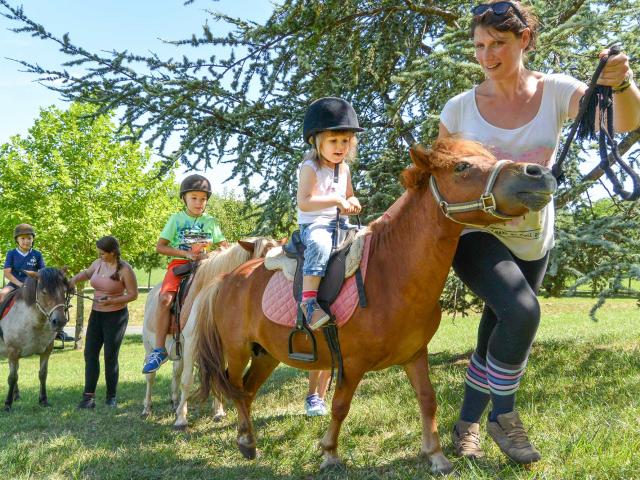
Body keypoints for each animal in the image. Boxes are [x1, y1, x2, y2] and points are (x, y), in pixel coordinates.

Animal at [0, 268, 70, 410]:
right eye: (44, 292)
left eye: (64, 290)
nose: (59, 321)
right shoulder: (13, 352)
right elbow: (12, 377)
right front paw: (7, 404)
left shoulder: (46, 351)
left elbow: (42, 374)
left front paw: (43, 400)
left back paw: (16, 395)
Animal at [141, 238, 282, 430]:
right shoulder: (192, 341)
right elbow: (187, 380)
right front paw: (181, 419)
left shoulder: (221, 345)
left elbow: (220, 376)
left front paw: (218, 412)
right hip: (150, 345)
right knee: (151, 376)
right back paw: (147, 408)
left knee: (176, 371)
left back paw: (175, 402)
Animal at [194, 138, 556, 472]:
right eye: (461, 166)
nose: (538, 174)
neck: (391, 273)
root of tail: (228, 278)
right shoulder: (352, 364)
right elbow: (341, 406)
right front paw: (330, 453)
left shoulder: (415, 355)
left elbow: (428, 401)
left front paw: (436, 456)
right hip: (238, 350)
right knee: (236, 389)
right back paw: (246, 440)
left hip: (267, 354)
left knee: (247, 392)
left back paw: (248, 441)